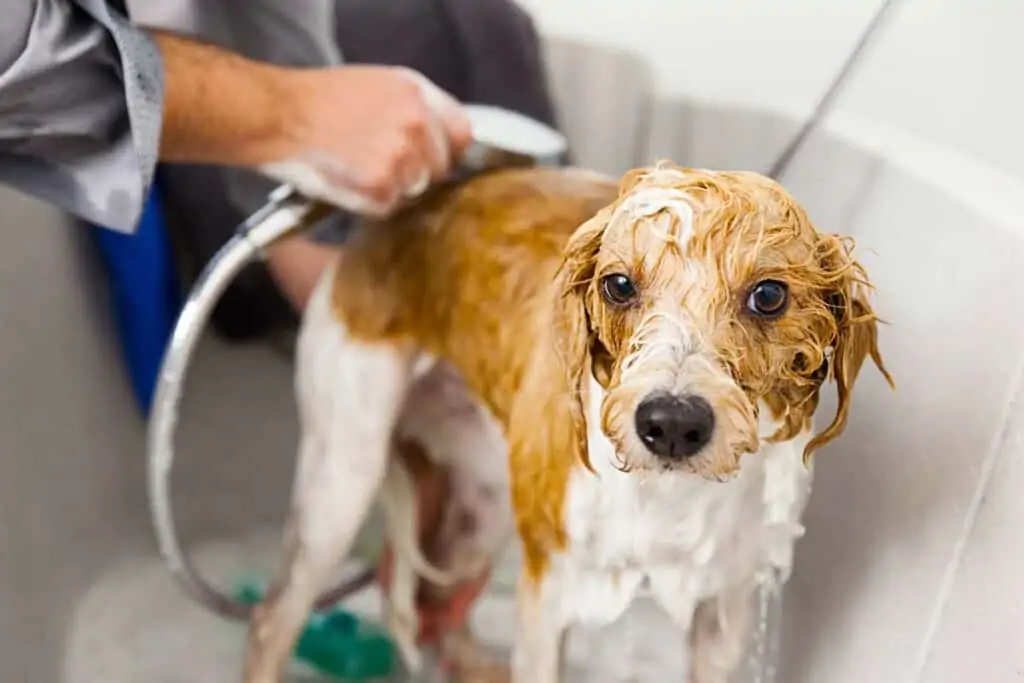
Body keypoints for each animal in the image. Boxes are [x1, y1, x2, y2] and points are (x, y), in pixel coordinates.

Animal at [237, 161, 888, 683]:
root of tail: (397, 215)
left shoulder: (723, 607)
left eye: (769, 296)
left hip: (488, 498)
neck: (669, 497)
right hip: (344, 476)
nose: (672, 423)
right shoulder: (551, 594)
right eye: (619, 285)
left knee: (435, 601)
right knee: (273, 620)